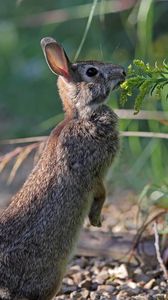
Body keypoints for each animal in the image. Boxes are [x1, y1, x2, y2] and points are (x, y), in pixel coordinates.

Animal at [0, 37, 124, 300]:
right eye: (91, 72)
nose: (123, 72)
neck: (82, 116)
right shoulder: (93, 172)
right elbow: (101, 193)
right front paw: (96, 220)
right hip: (50, 278)